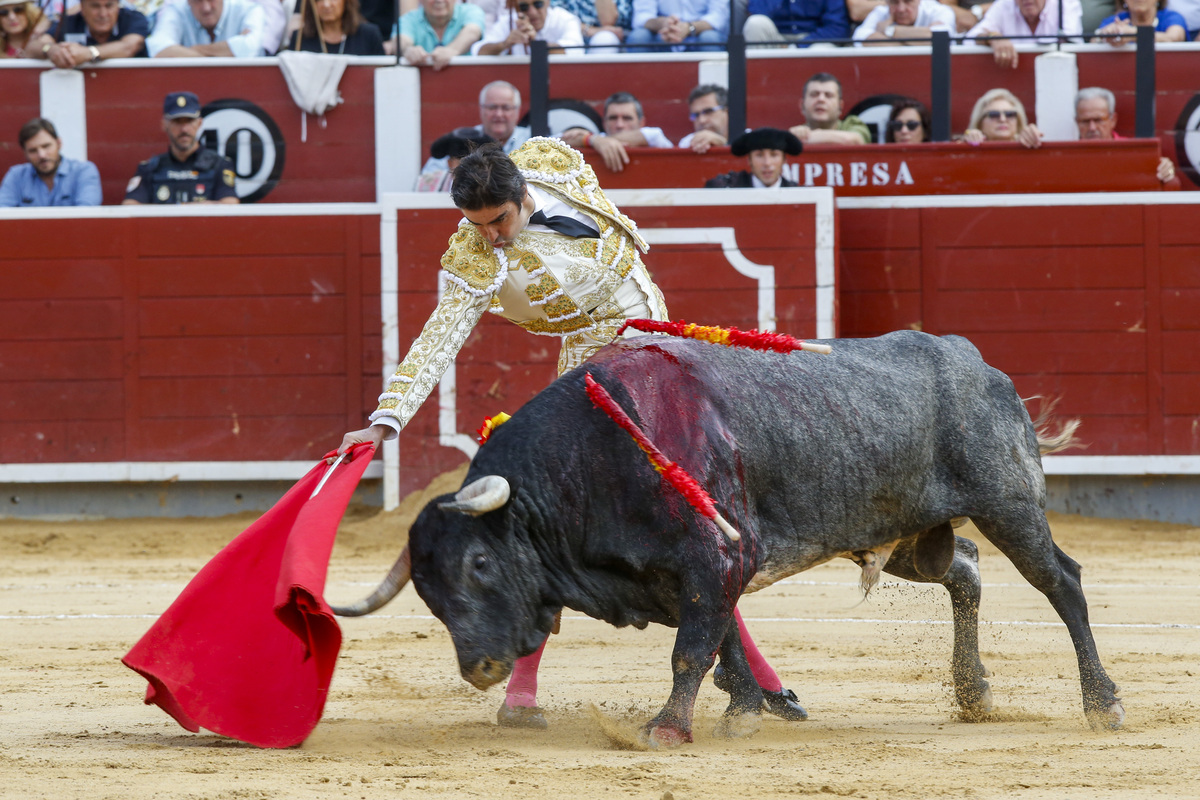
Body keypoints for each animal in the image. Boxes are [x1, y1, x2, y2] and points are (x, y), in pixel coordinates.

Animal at [345, 331, 1123, 743]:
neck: (591, 460)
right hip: (909, 537)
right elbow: (719, 638)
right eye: (427, 592)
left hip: (1009, 505)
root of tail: (981, 363)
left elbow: (693, 647)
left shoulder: (713, 557)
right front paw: (746, 709)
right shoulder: (682, 574)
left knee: (1063, 583)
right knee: (963, 567)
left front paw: (668, 727)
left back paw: (1102, 703)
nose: (477, 667)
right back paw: (974, 692)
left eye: (479, 562)